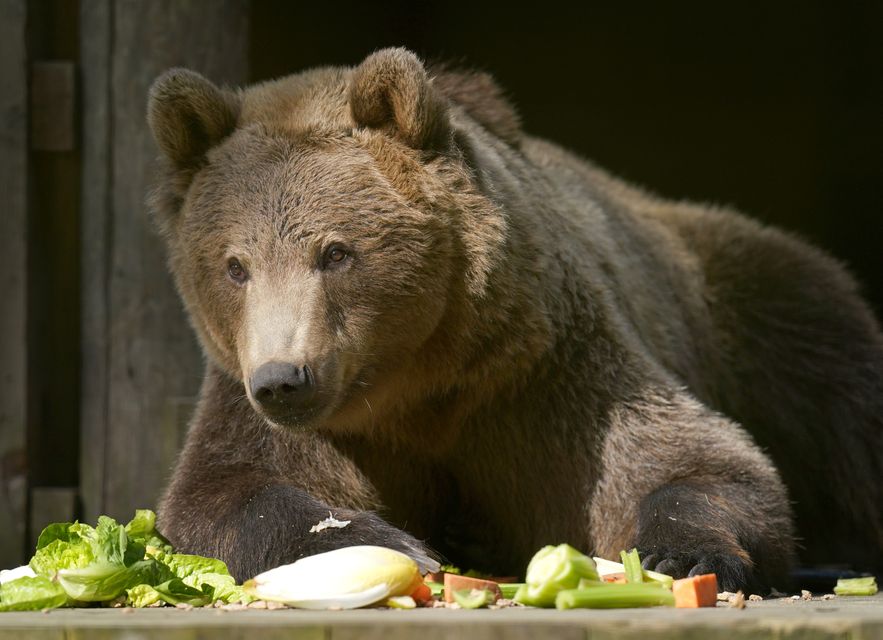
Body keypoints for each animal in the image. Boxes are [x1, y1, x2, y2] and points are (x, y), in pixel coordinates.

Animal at [148, 47, 880, 592]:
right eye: (234, 265)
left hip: (751, 304)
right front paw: (391, 544)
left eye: (335, 252)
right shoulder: (292, 407)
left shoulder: (543, 373)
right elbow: (229, 491)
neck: (415, 380)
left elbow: (691, 460)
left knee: (836, 383)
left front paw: (682, 553)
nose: (284, 379)